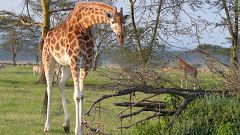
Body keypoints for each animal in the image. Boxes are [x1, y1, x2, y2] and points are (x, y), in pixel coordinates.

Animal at [42, 2, 129, 135]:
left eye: (123, 22)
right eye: (112, 21)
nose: (121, 37)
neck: (83, 25)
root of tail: (47, 35)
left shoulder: (86, 64)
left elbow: (82, 96)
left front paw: (81, 127)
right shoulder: (76, 61)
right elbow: (76, 96)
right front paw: (78, 130)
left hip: (66, 65)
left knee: (60, 83)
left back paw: (66, 124)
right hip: (48, 59)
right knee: (50, 88)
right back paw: (47, 126)